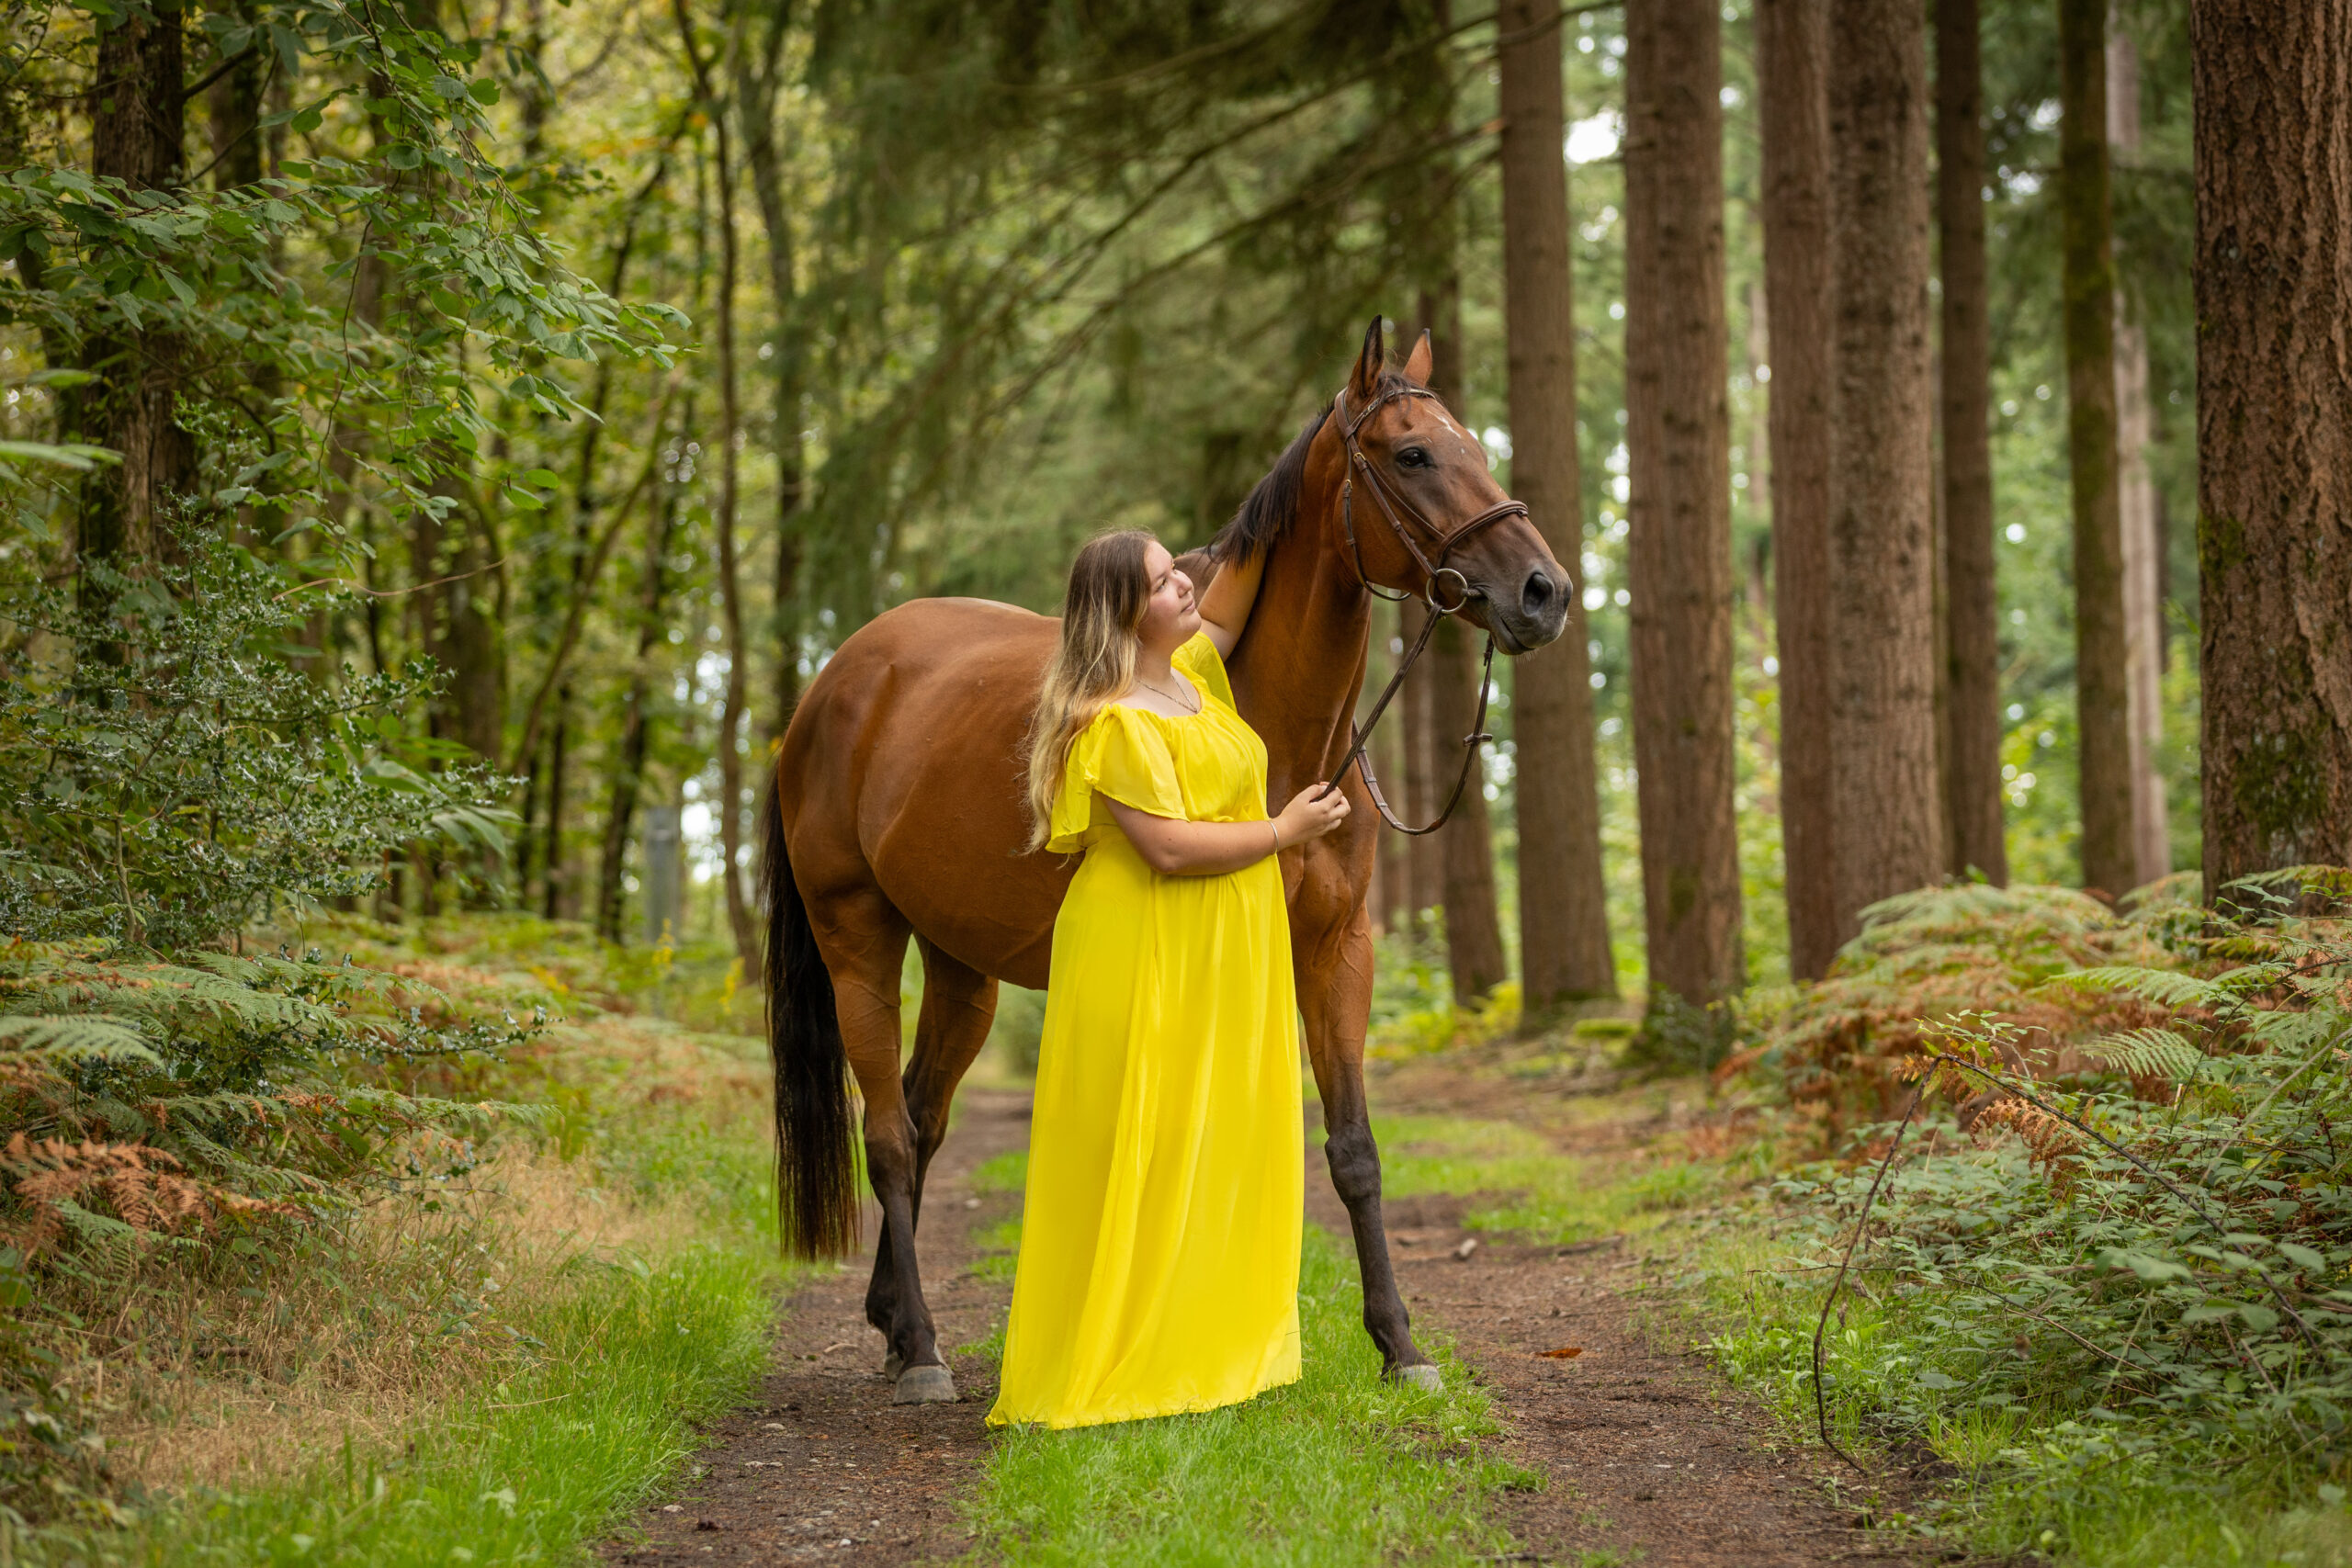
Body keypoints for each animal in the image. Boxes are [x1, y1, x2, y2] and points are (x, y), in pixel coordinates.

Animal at [759, 318, 1572, 1404]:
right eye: (1411, 455)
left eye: (1475, 444)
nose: (1545, 592)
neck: (1277, 729)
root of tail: (829, 688)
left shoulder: (1334, 951)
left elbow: (1354, 1149)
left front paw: (1399, 1344)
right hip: (857, 939)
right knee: (887, 1137)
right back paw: (924, 1350)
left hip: (962, 969)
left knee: (923, 1122)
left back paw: (894, 1323)